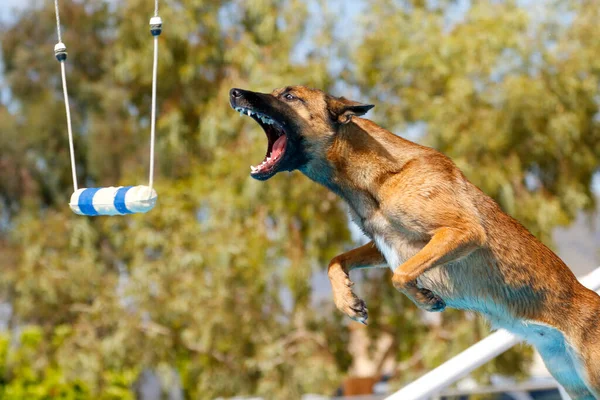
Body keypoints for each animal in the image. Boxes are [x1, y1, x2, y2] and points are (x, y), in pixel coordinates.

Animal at [229, 86, 600, 398]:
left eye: (289, 96)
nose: (234, 92)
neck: (372, 173)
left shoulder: (462, 232)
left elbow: (401, 275)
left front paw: (425, 299)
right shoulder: (381, 243)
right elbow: (337, 260)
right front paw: (348, 302)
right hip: (575, 384)